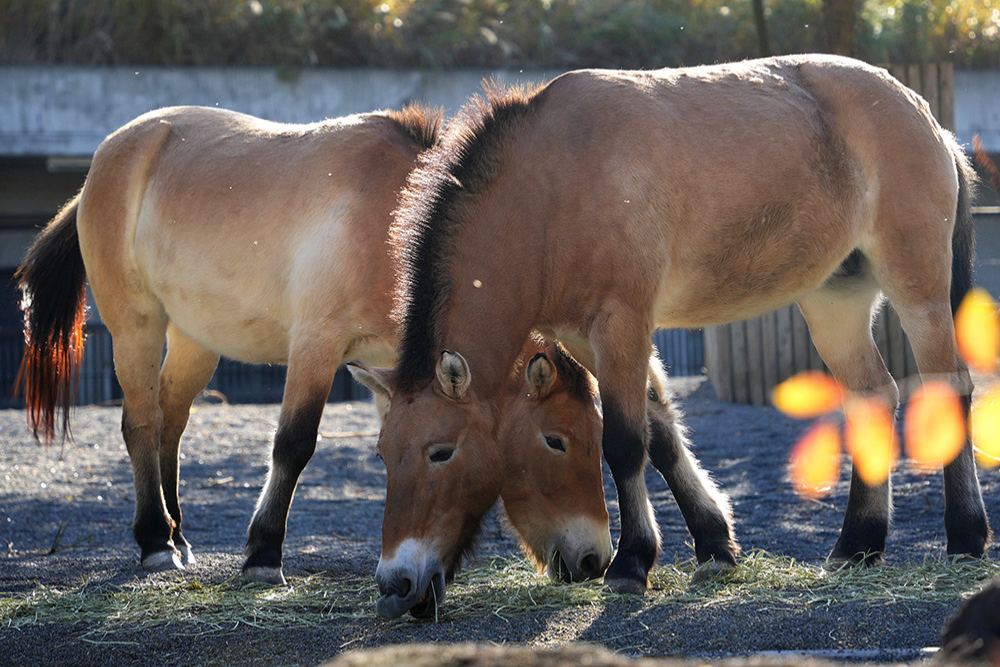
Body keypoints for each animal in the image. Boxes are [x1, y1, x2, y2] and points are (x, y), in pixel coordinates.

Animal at [15, 104, 612, 596]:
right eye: (556, 439)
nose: (594, 560)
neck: (388, 223)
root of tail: (110, 155)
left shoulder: (393, 369)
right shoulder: (316, 347)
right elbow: (293, 445)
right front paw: (262, 555)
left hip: (194, 340)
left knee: (171, 421)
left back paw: (178, 536)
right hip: (136, 326)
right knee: (141, 421)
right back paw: (156, 542)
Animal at [362, 54, 992, 617]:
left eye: (440, 452)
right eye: (384, 455)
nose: (397, 583)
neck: (549, 191)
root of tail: (926, 119)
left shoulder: (623, 323)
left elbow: (625, 440)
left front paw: (631, 564)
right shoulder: (587, 337)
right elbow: (661, 431)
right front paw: (714, 546)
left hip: (918, 288)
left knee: (947, 386)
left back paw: (965, 536)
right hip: (835, 300)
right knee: (872, 395)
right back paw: (858, 545)